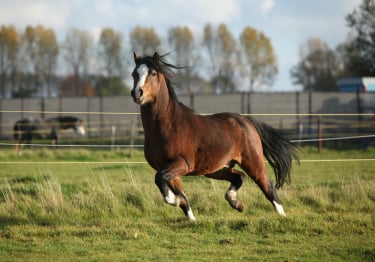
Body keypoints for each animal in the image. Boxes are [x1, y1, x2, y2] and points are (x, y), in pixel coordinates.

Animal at [131, 52, 300, 221]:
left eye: (153, 73)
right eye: (134, 73)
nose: (137, 93)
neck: (168, 125)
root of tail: (247, 121)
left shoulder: (183, 163)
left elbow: (161, 180)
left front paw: (176, 201)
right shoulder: (168, 168)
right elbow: (178, 192)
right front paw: (190, 217)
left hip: (253, 162)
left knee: (268, 187)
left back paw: (281, 216)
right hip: (216, 168)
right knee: (239, 176)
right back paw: (236, 203)